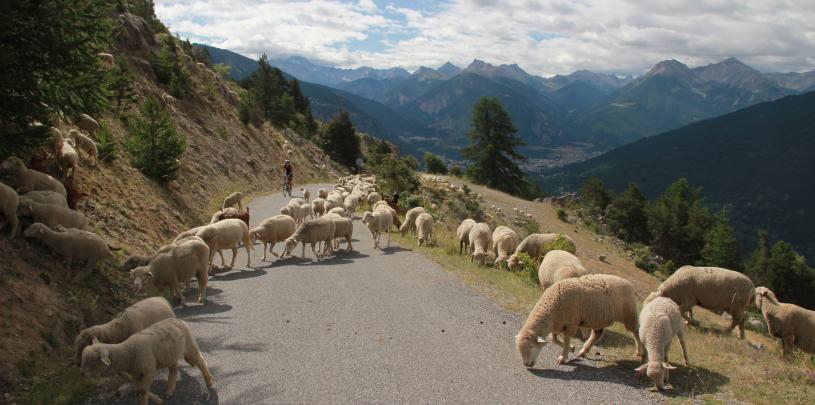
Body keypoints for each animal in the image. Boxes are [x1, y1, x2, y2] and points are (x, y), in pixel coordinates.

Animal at [80, 318, 210, 404]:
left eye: (92, 360)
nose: (82, 374)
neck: (128, 352)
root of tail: (175, 319)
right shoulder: (136, 374)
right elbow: (140, 390)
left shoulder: (149, 370)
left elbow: (142, 391)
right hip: (169, 353)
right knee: (174, 368)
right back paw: (169, 390)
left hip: (189, 345)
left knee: (200, 361)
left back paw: (209, 382)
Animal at [516, 274, 644, 368]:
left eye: (531, 347)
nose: (527, 365)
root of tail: (630, 284)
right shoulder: (558, 324)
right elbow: (553, 339)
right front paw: (572, 348)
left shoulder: (572, 323)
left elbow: (566, 339)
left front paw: (563, 357)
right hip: (598, 318)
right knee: (597, 334)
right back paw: (583, 351)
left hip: (629, 314)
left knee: (636, 332)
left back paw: (641, 353)